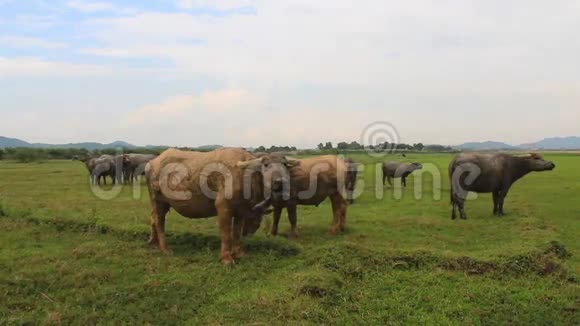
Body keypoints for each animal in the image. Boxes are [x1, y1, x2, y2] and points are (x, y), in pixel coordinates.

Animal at [145, 148, 294, 264]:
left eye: (285, 164)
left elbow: (236, 233)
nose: (280, 182)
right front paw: (226, 258)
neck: (245, 175)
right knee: (159, 221)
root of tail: (152, 163)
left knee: (152, 218)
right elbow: (226, 234)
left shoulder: (241, 211)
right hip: (158, 201)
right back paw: (165, 249)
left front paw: (239, 253)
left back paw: (153, 243)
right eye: (266, 164)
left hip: (160, 203)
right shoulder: (223, 208)